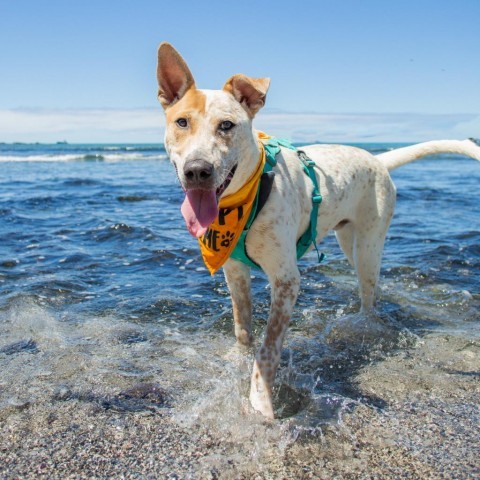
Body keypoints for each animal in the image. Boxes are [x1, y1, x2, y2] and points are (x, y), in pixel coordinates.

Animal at [156, 42, 478, 420]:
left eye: (227, 125)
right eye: (181, 122)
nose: (197, 171)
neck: (247, 197)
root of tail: (378, 159)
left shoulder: (286, 280)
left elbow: (267, 349)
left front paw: (261, 400)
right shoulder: (234, 272)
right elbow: (243, 331)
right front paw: (238, 363)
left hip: (369, 247)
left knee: (369, 296)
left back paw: (363, 326)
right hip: (347, 240)